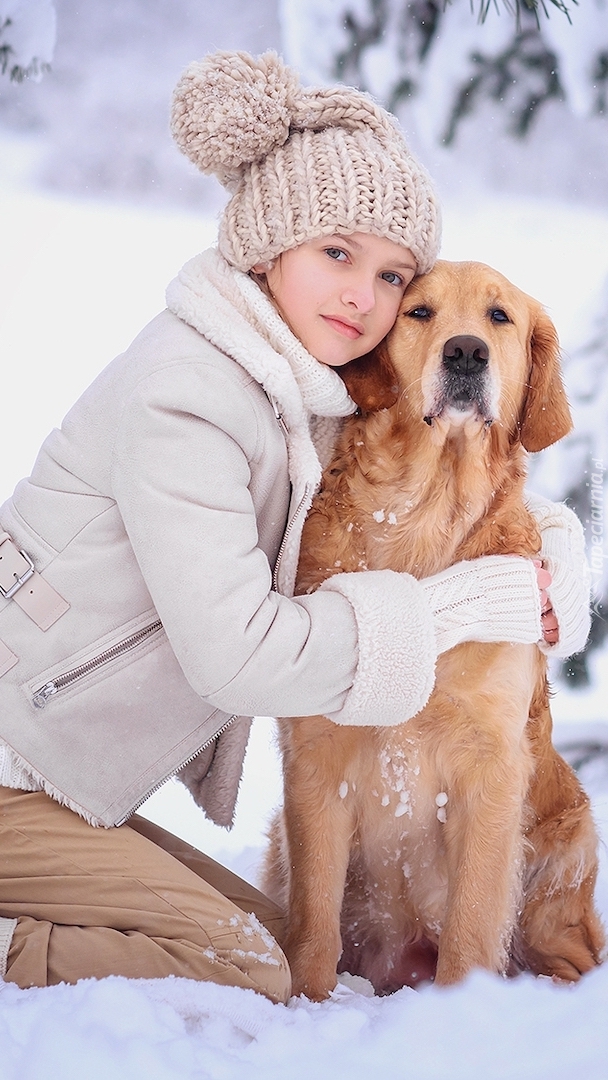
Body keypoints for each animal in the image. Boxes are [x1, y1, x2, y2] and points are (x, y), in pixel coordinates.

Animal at [264, 259, 604, 993]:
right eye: (418, 311)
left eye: (499, 316)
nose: (467, 352)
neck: (423, 514)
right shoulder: (315, 758)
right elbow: (312, 921)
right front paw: (305, 999)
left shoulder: (492, 765)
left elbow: (473, 921)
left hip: (563, 857)